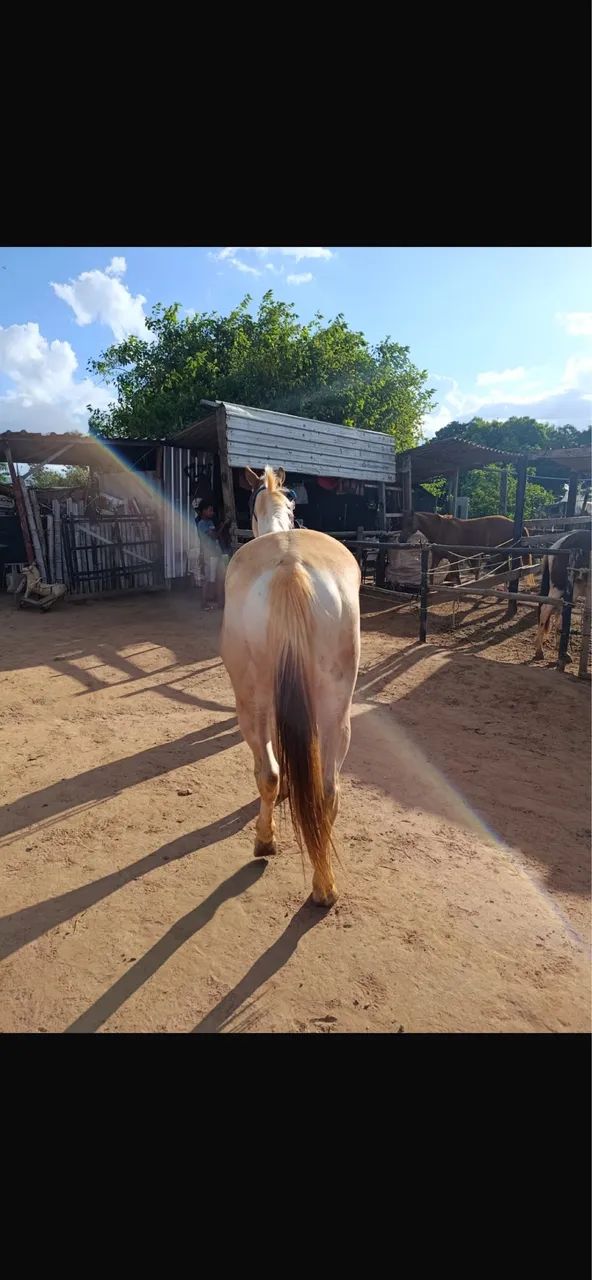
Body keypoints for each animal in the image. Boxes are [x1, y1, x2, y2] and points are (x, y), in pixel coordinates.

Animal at [221, 465, 361, 907]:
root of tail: (290, 565)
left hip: (250, 703)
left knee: (267, 772)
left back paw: (264, 842)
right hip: (337, 712)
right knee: (328, 791)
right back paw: (324, 887)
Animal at [398, 511, 530, 585]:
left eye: (409, 522)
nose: (400, 539)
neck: (441, 530)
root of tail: (515, 525)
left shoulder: (452, 557)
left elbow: (455, 574)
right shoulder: (437, 556)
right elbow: (432, 571)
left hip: (503, 554)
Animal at [534, 529, 591, 661]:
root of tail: (556, 546)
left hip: (571, 592)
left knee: (559, 612)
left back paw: (561, 651)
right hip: (558, 588)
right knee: (546, 610)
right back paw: (539, 651)